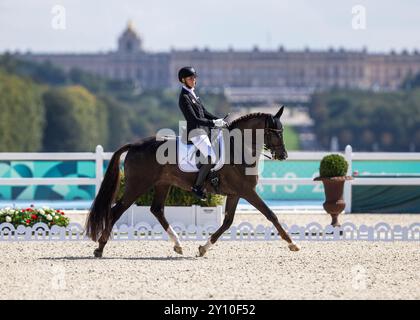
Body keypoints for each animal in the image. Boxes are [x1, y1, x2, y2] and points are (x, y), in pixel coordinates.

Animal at [85, 107, 300, 258]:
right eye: (275, 132)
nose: (283, 155)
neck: (238, 149)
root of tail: (135, 144)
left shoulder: (235, 193)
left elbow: (228, 222)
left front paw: (203, 248)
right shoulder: (247, 191)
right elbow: (270, 214)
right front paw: (292, 243)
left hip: (162, 184)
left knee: (157, 210)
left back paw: (178, 245)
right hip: (137, 186)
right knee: (116, 211)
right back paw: (100, 249)